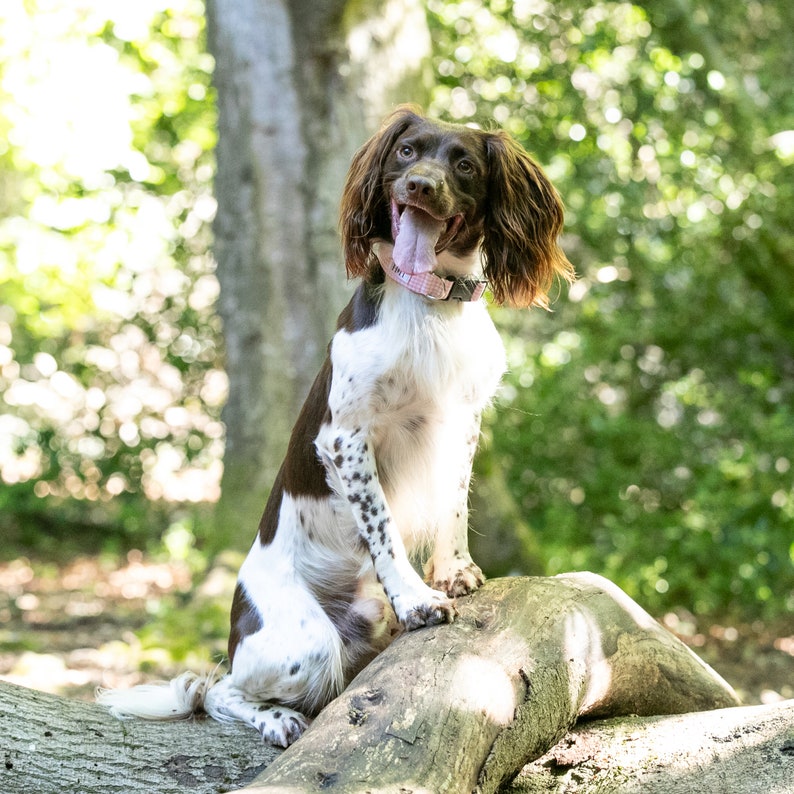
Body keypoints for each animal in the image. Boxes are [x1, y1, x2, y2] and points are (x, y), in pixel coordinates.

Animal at [99, 103, 572, 744]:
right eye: (406, 152)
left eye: (465, 165)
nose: (420, 185)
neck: (428, 305)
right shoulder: (346, 438)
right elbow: (384, 529)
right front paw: (418, 599)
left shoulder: (463, 421)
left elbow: (454, 505)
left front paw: (453, 571)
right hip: (304, 643)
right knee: (218, 689)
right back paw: (276, 718)